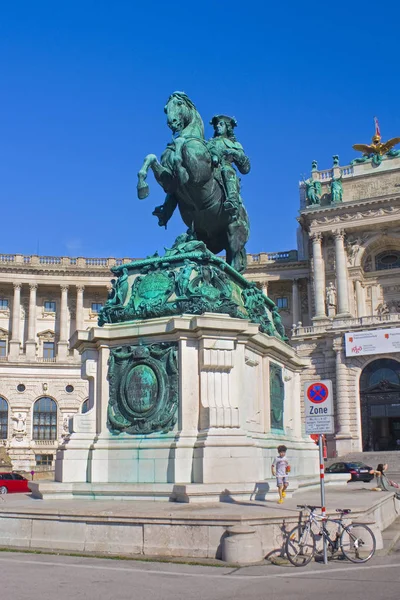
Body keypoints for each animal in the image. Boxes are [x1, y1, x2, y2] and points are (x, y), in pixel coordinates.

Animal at [138, 91, 250, 272]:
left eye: (179, 104)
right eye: (165, 108)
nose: (172, 122)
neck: (191, 137)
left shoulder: (198, 175)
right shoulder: (168, 181)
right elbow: (151, 157)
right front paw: (142, 187)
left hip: (235, 231)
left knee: (233, 262)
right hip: (203, 234)